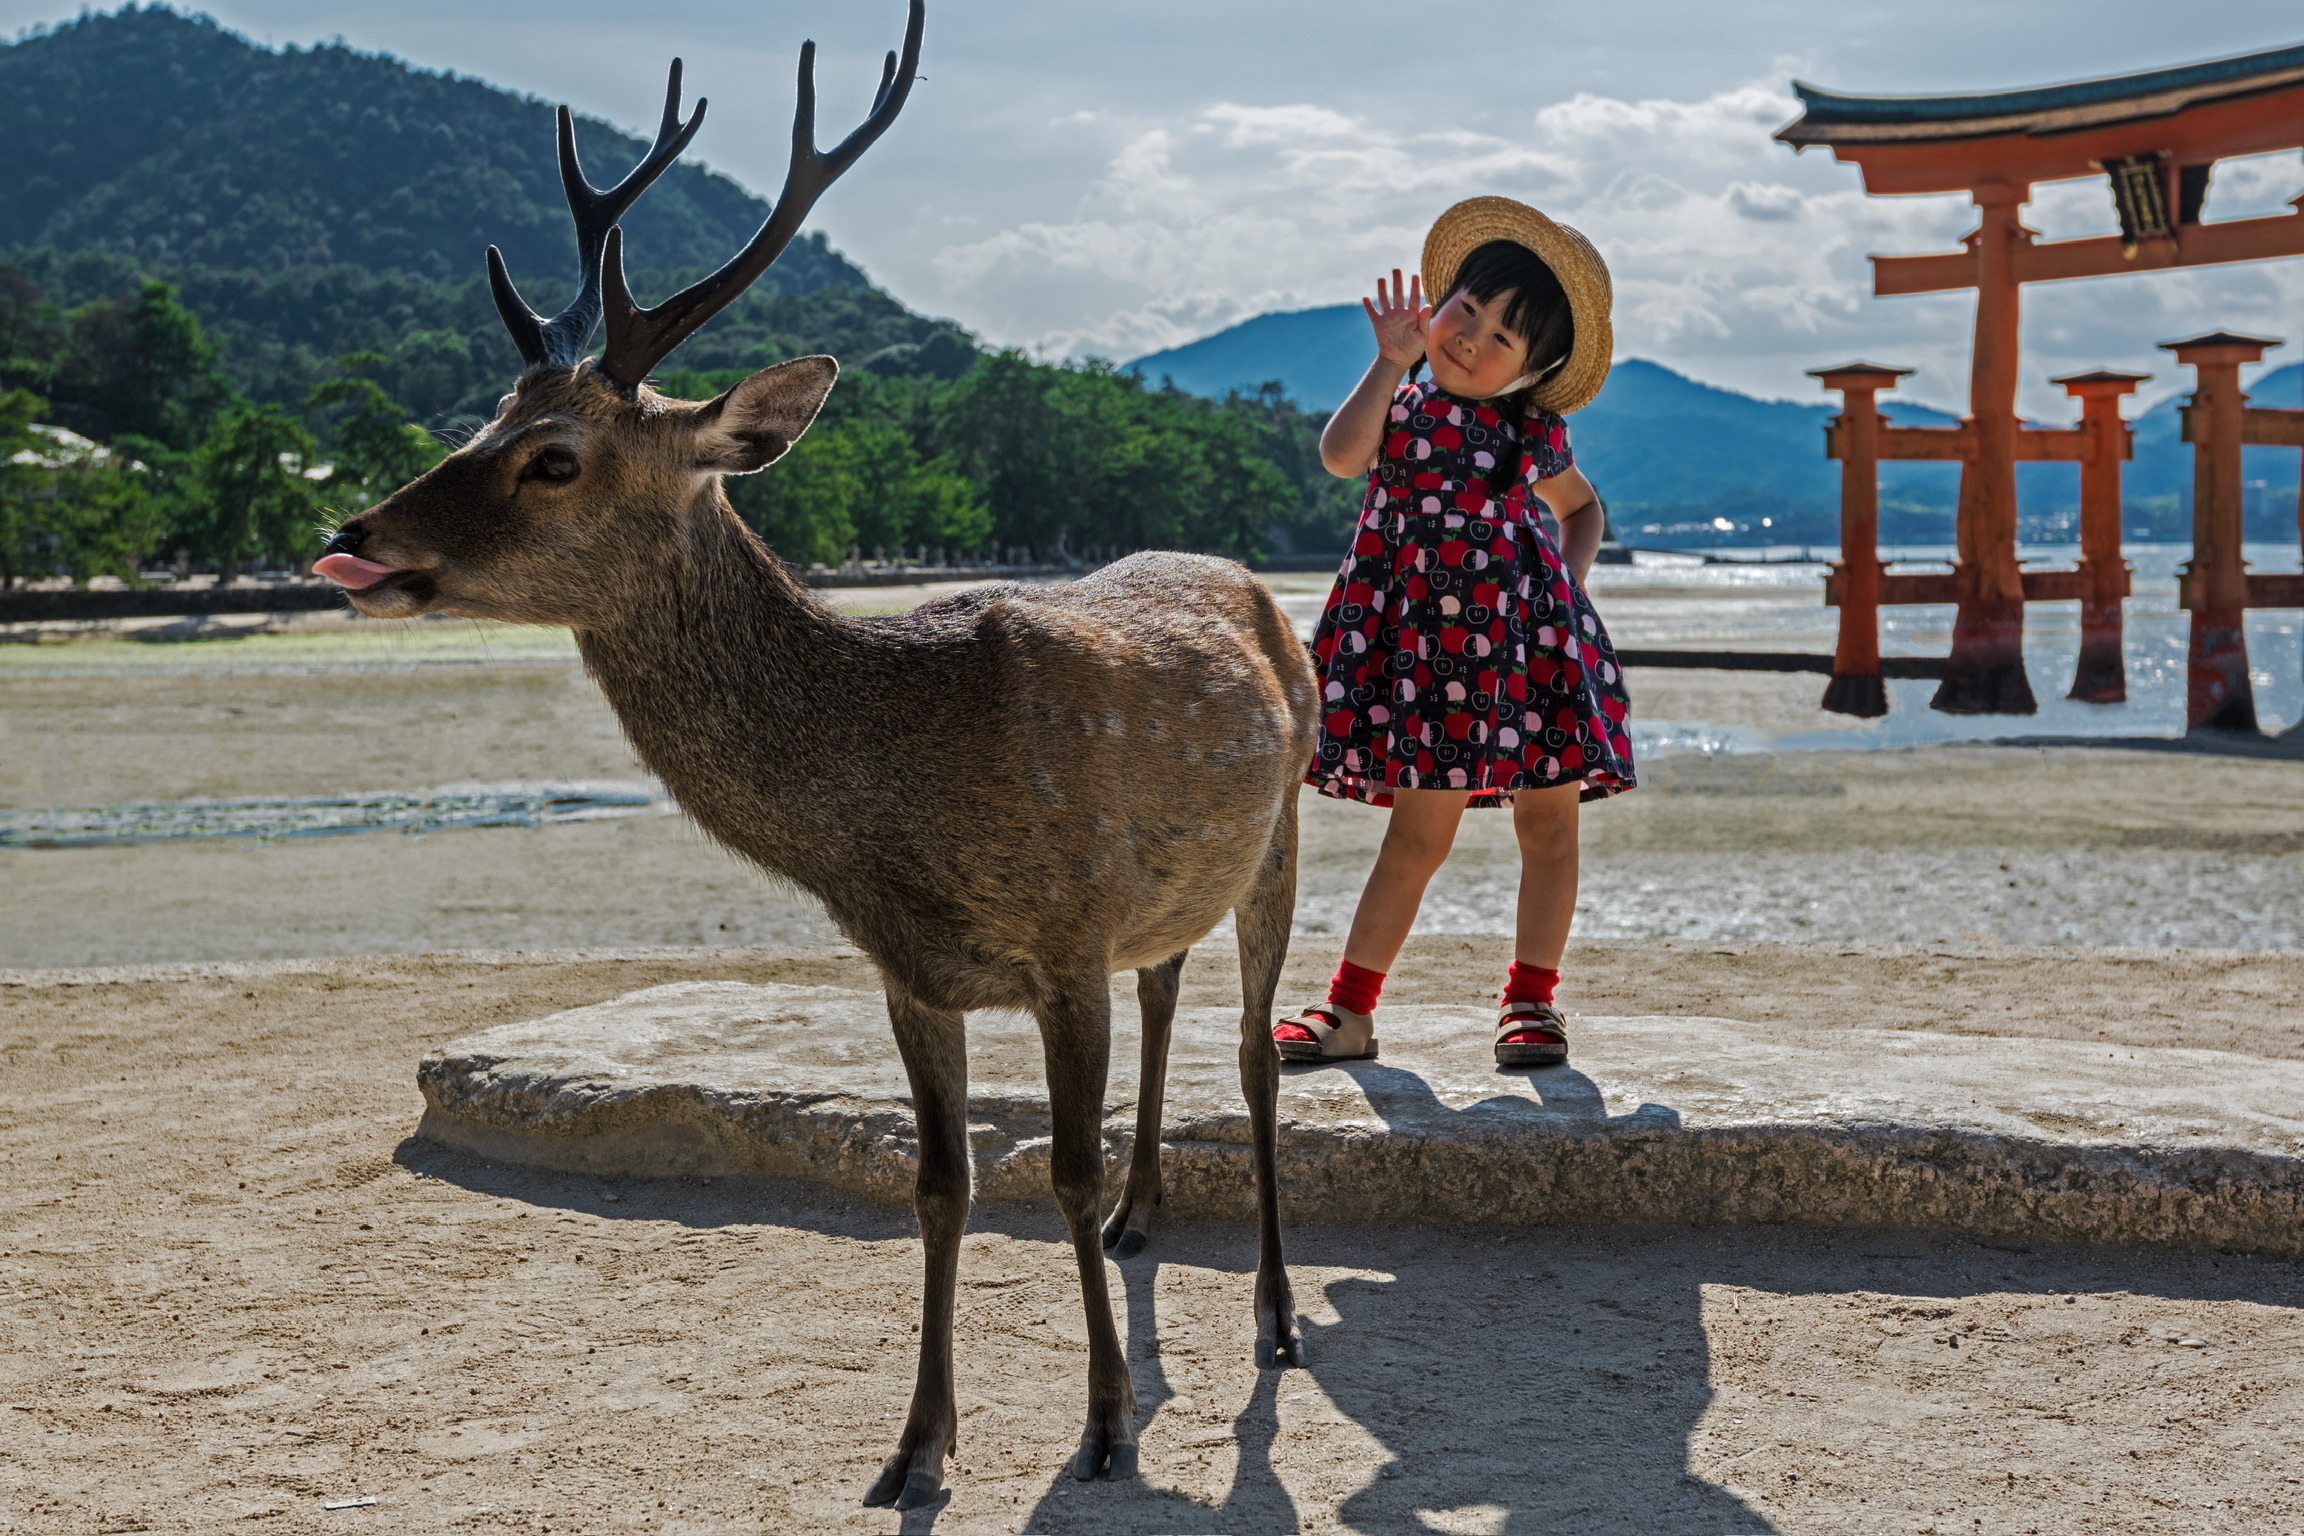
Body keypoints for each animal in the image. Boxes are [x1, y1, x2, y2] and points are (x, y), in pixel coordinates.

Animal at [310, 1, 1316, 1510]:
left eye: (553, 457)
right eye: (479, 421)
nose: (355, 534)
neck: (893, 821)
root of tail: (1253, 581)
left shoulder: (1067, 937)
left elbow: (1060, 1176)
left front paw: (1102, 1428)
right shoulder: (909, 971)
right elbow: (942, 1185)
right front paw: (915, 1447)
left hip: (1288, 829)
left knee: (1253, 1056)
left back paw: (1273, 1312)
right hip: (1175, 888)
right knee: (1170, 995)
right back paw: (1150, 1223)